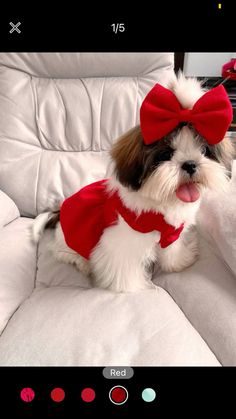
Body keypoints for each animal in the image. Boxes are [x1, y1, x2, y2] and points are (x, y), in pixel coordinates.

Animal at [31, 74, 234, 292]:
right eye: (165, 154)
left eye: (204, 151)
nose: (190, 164)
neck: (162, 204)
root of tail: (59, 212)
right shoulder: (120, 243)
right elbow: (122, 267)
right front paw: (131, 287)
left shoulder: (171, 233)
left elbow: (172, 250)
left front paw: (179, 262)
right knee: (65, 252)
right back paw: (80, 261)